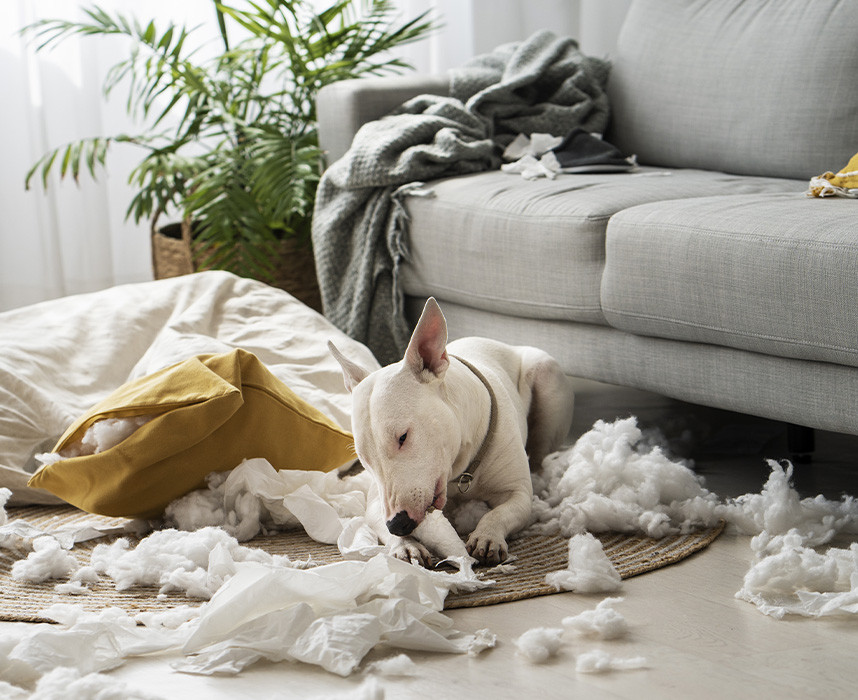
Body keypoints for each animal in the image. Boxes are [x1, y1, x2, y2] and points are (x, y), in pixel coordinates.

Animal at [328, 298, 576, 568]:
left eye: (403, 437)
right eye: (364, 458)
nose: (398, 525)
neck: (461, 472)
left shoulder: (518, 492)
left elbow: (502, 511)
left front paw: (487, 537)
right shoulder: (376, 503)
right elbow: (376, 516)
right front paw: (406, 546)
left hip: (546, 373)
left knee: (540, 455)